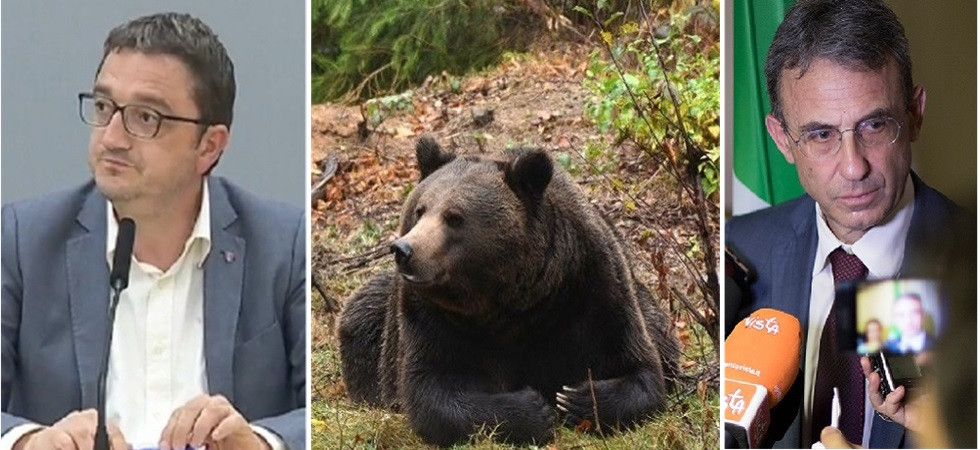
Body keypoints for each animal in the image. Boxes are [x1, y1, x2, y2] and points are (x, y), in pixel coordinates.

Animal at [337, 137, 681, 447]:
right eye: (420, 210)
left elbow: (641, 370)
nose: (405, 249)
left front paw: (576, 398)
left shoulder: (591, 292)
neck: (510, 302)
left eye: (454, 217)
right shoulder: (432, 319)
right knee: (361, 316)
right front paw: (534, 409)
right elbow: (432, 392)